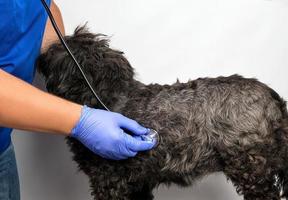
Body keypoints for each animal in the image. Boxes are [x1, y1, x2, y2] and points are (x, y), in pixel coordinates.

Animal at [36, 26, 288, 200]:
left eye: (57, 51)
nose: (40, 56)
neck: (109, 97)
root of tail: (274, 98)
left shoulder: (109, 181)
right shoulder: (137, 183)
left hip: (250, 167)